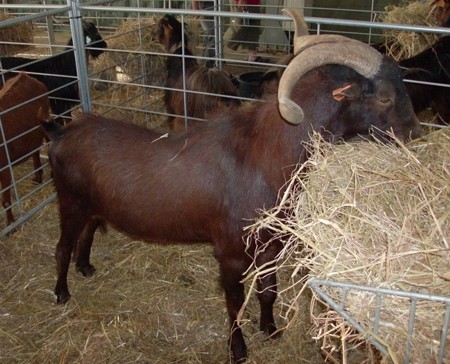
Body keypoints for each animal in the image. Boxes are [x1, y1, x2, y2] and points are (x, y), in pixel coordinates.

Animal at [0, 72, 50, 226]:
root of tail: (24, 75)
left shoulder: (4, 167)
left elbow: (5, 200)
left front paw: (11, 222)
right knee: (35, 151)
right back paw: (38, 177)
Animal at [41, 8, 422, 364]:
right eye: (385, 97)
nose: (415, 134)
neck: (264, 156)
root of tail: (60, 135)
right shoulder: (230, 252)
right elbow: (235, 304)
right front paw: (239, 349)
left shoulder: (271, 245)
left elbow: (268, 291)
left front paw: (271, 329)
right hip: (69, 202)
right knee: (61, 247)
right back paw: (61, 293)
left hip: (91, 205)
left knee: (87, 233)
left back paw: (86, 267)